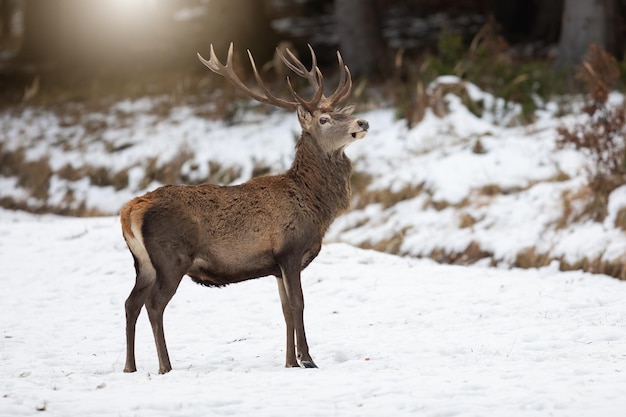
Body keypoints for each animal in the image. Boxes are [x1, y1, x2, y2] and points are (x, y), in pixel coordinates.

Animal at [119, 43, 368, 374]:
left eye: (341, 112)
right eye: (324, 119)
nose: (363, 123)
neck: (316, 207)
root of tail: (129, 211)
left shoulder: (275, 266)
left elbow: (285, 310)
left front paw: (290, 362)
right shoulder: (290, 250)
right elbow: (299, 304)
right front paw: (307, 359)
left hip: (143, 263)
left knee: (130, 303)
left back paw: (130, 367)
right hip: (171, 257)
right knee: (154, 304)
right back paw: (165, 366)